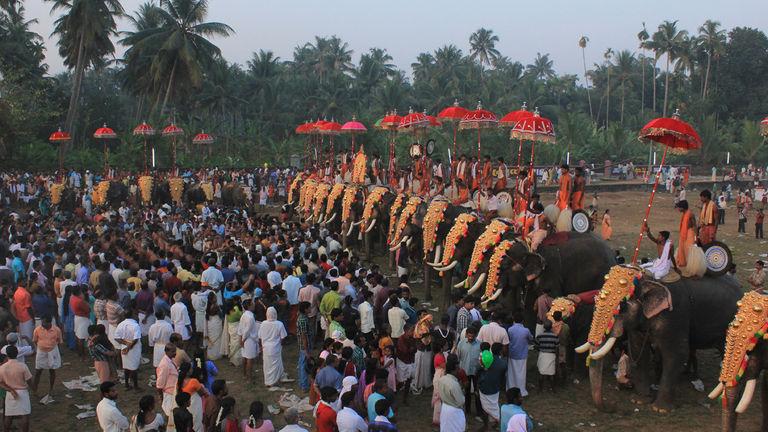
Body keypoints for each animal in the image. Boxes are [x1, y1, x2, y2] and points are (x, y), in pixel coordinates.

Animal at [584, 266, 744, 412]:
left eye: (622, 306)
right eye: (596, 300)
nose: (612, 406)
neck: (649, 279)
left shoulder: (675, 314)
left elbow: (677, 353)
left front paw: (660, 409)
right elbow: (637, 350)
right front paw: (639, 400)